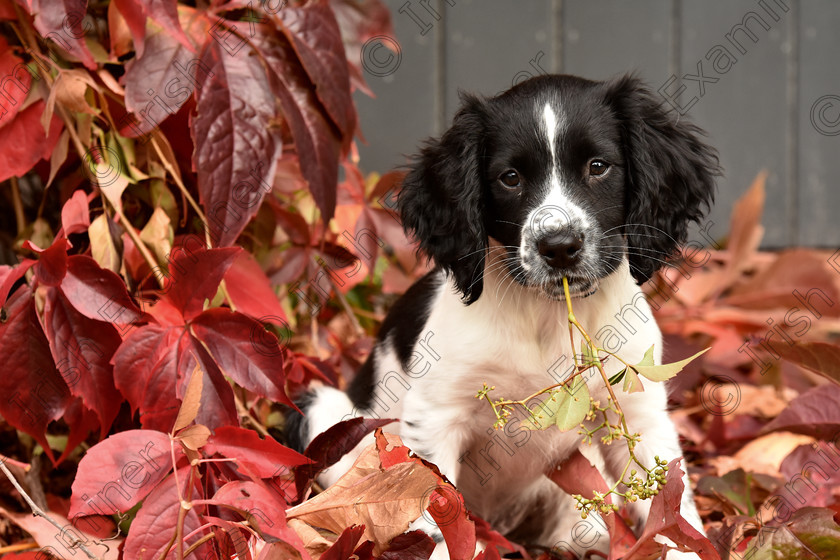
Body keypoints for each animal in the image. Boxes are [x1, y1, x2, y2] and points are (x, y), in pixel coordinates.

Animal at [292, 73, 720, 556]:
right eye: (510, 178)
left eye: (598, 166)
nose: (559, 247)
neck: (547, 313)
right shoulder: (436, 414)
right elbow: (433, 504)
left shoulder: (637, 409)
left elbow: (672, 507)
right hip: (325, 411)